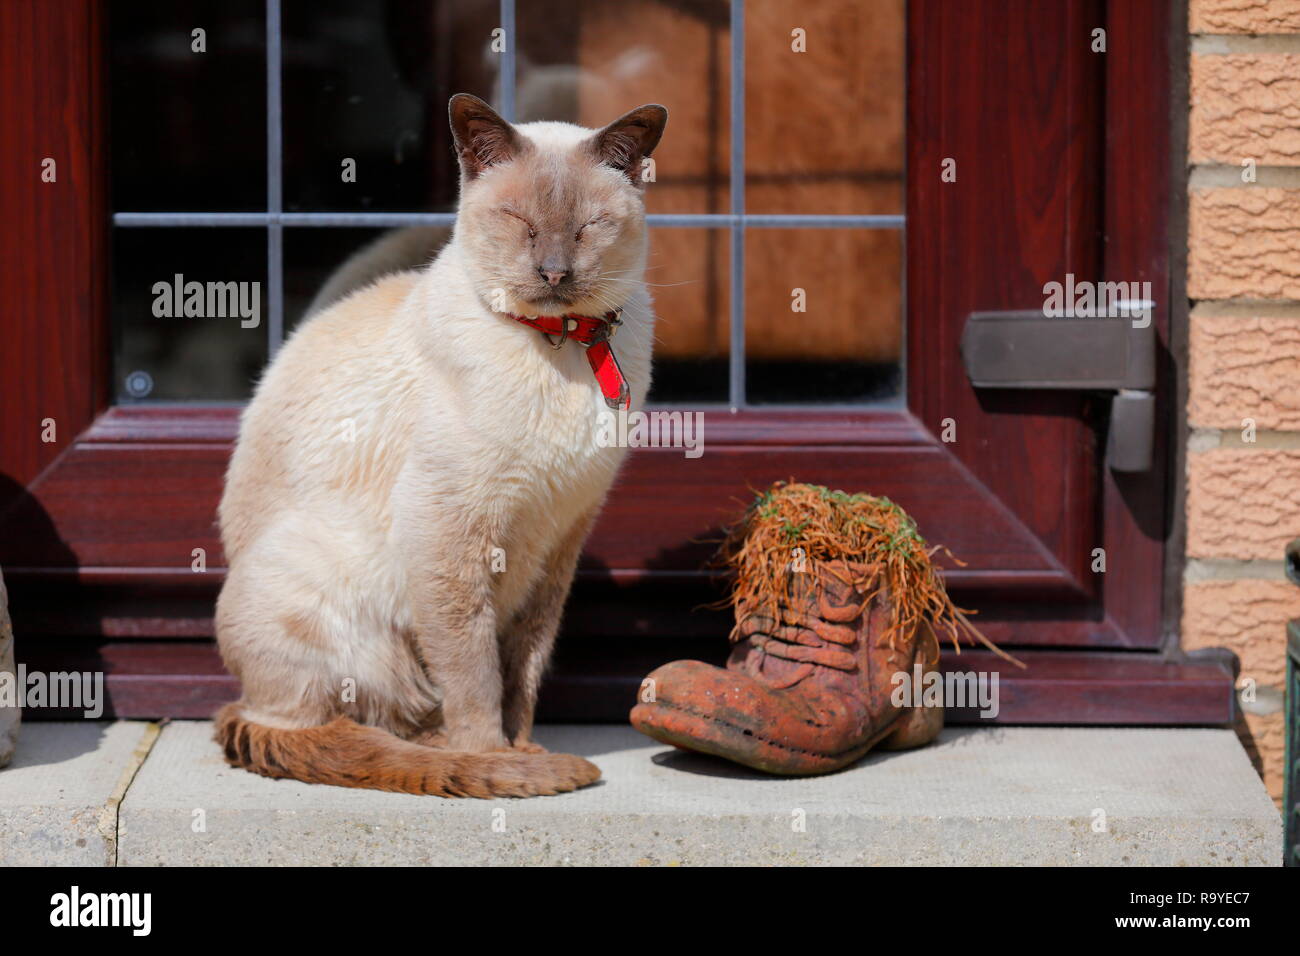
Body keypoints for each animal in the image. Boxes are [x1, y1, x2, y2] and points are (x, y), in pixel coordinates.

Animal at [217, 95, 665, 801]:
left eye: (588, 227)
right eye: (520, 223)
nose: (555, 272)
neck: (561, 343)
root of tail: (246, 703)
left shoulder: (559, 537)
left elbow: (523, 668)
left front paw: (523, 749)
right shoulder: (447, 533)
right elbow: (473, 672)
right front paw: (495, 759)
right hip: (323, 589)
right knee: (343, 724)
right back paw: (451, 752)